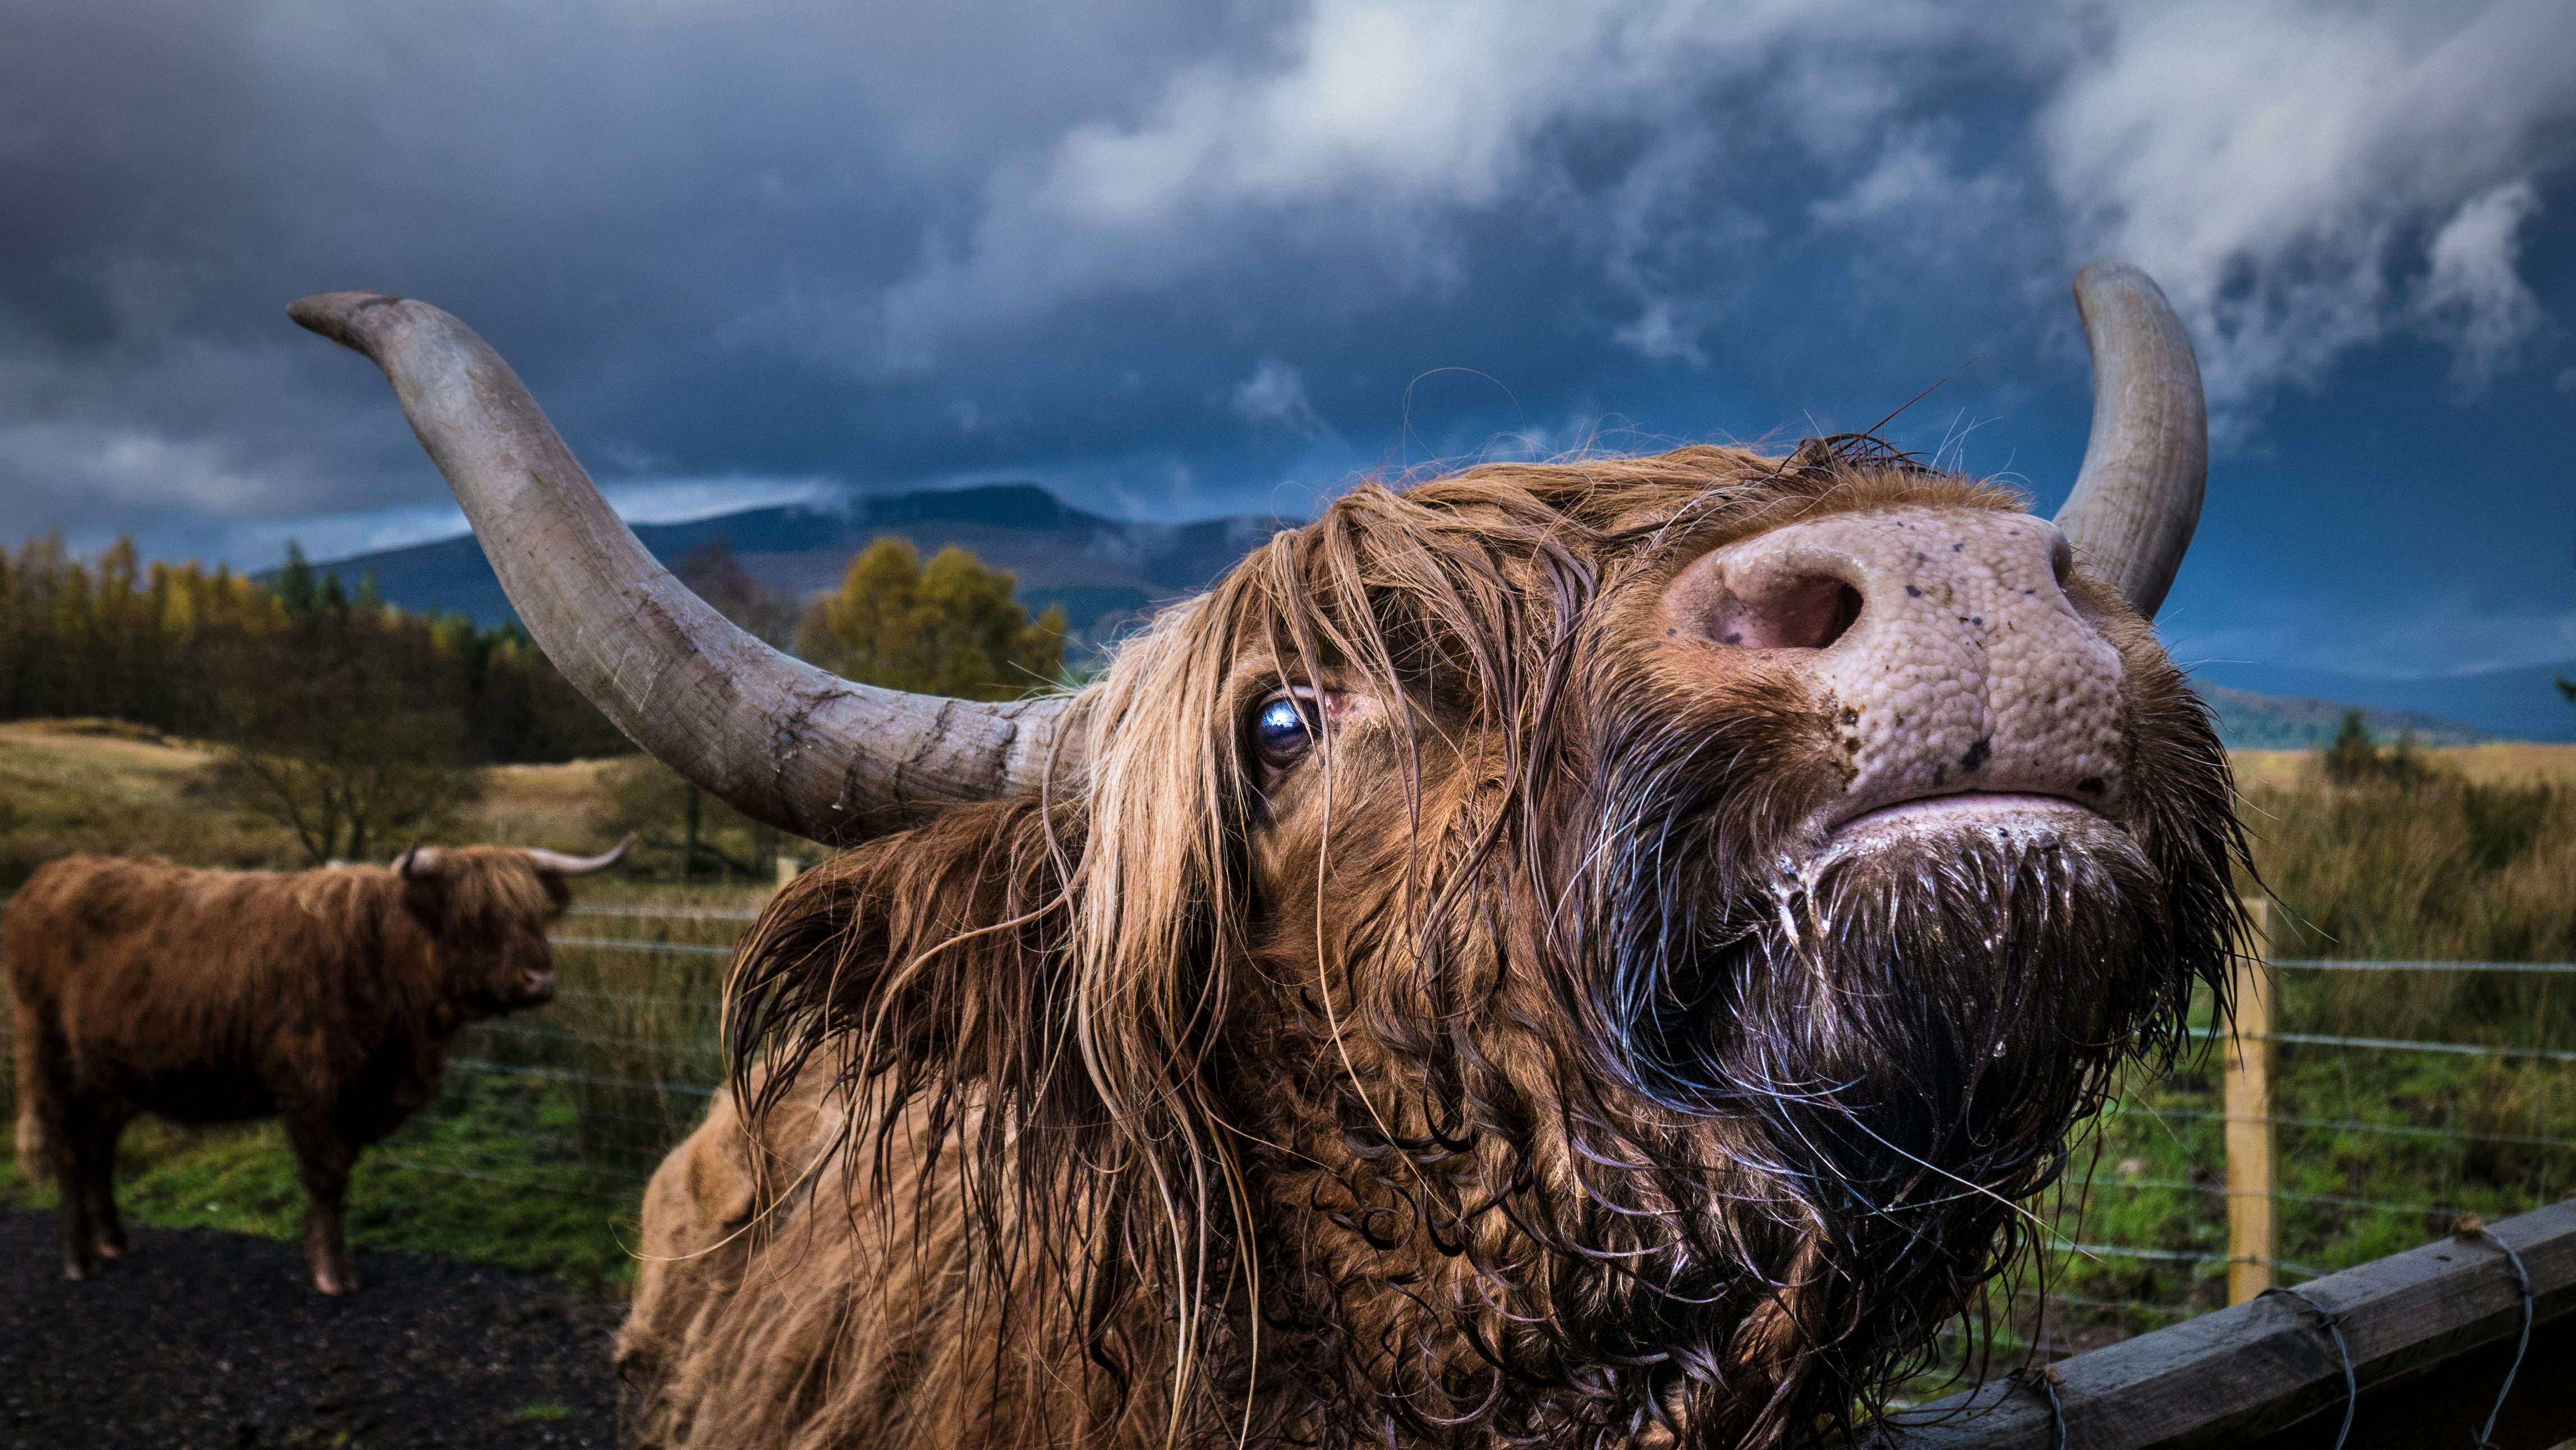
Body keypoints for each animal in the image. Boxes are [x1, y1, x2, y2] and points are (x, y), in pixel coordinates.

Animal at [11, 839, 628, 1293]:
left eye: (538, 915)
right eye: (476, 916)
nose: (540, 980)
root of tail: (50, 877)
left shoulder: (357, 1094)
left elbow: (338, 1177)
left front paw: (318, 1254)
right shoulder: (313, 1087)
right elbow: (327, 1176)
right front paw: (334, 1273)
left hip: (111, 1076)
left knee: (98, 1149)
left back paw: (113, 1239)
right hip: (54, 1059)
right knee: (70, 1152)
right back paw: (79, 1261)